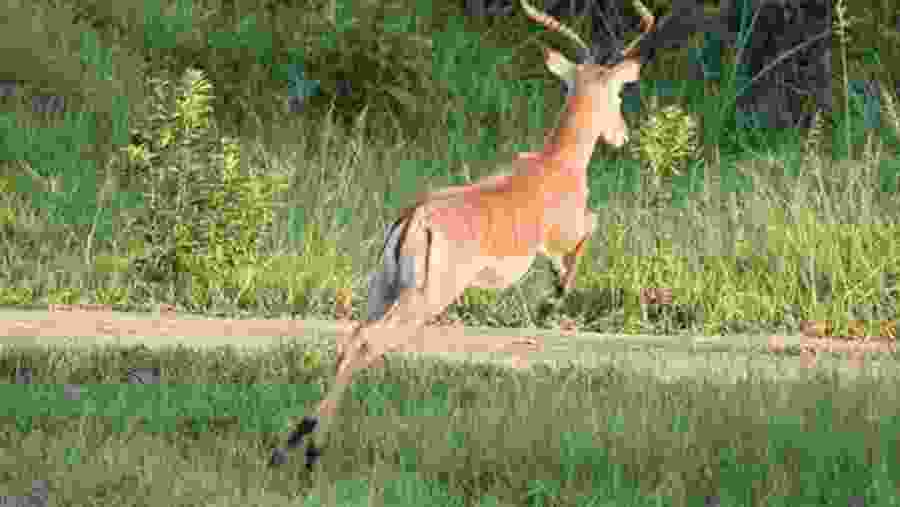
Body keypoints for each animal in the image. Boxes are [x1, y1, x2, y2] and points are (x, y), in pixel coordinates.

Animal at [271, 0, 689, 468]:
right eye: (618, 93)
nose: (621, 136)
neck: (556, 164)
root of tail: (415, 218)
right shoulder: (563, 236)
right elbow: (589, 232)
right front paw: (552, 298)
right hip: (422, 301)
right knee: (366, 343)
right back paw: (312, 451)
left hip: (382, 291)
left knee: (350, 342)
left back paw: (289, 446)